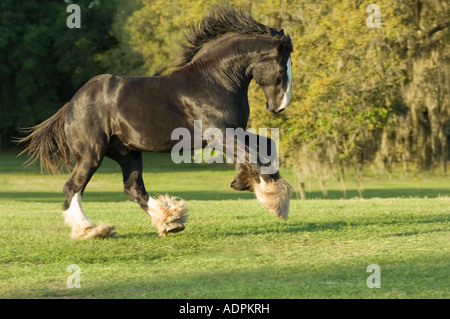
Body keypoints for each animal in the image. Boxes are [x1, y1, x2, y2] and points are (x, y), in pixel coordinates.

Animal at [16, 6, 292, 240]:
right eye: (282, 69)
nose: (278, 106)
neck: (215, 79)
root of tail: (71, 104)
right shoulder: (220, 136)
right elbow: (255, 155)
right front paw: (274, 200)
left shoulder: (236, 131)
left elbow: (267, 146)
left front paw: (244, 181)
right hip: (92, 155)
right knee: (73, 187)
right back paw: (91, 230)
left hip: (127, 153)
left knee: (133, 188)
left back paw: (170, 221)